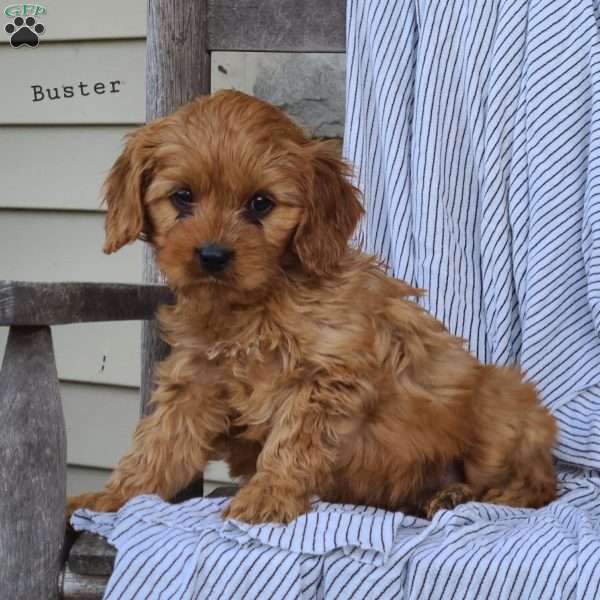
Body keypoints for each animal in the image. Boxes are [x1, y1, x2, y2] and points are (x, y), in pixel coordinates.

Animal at [69, 90, 556, 524]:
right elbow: (159, 443)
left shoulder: (325, 379)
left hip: (502, 399)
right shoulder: (196, 381)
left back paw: (476, 496)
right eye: (182, 196)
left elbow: (292, 442)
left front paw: (266, 497)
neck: (256, 305)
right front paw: (111, 497)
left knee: (540, 485)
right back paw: (442, 495)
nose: (211, 256)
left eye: (261, 203)